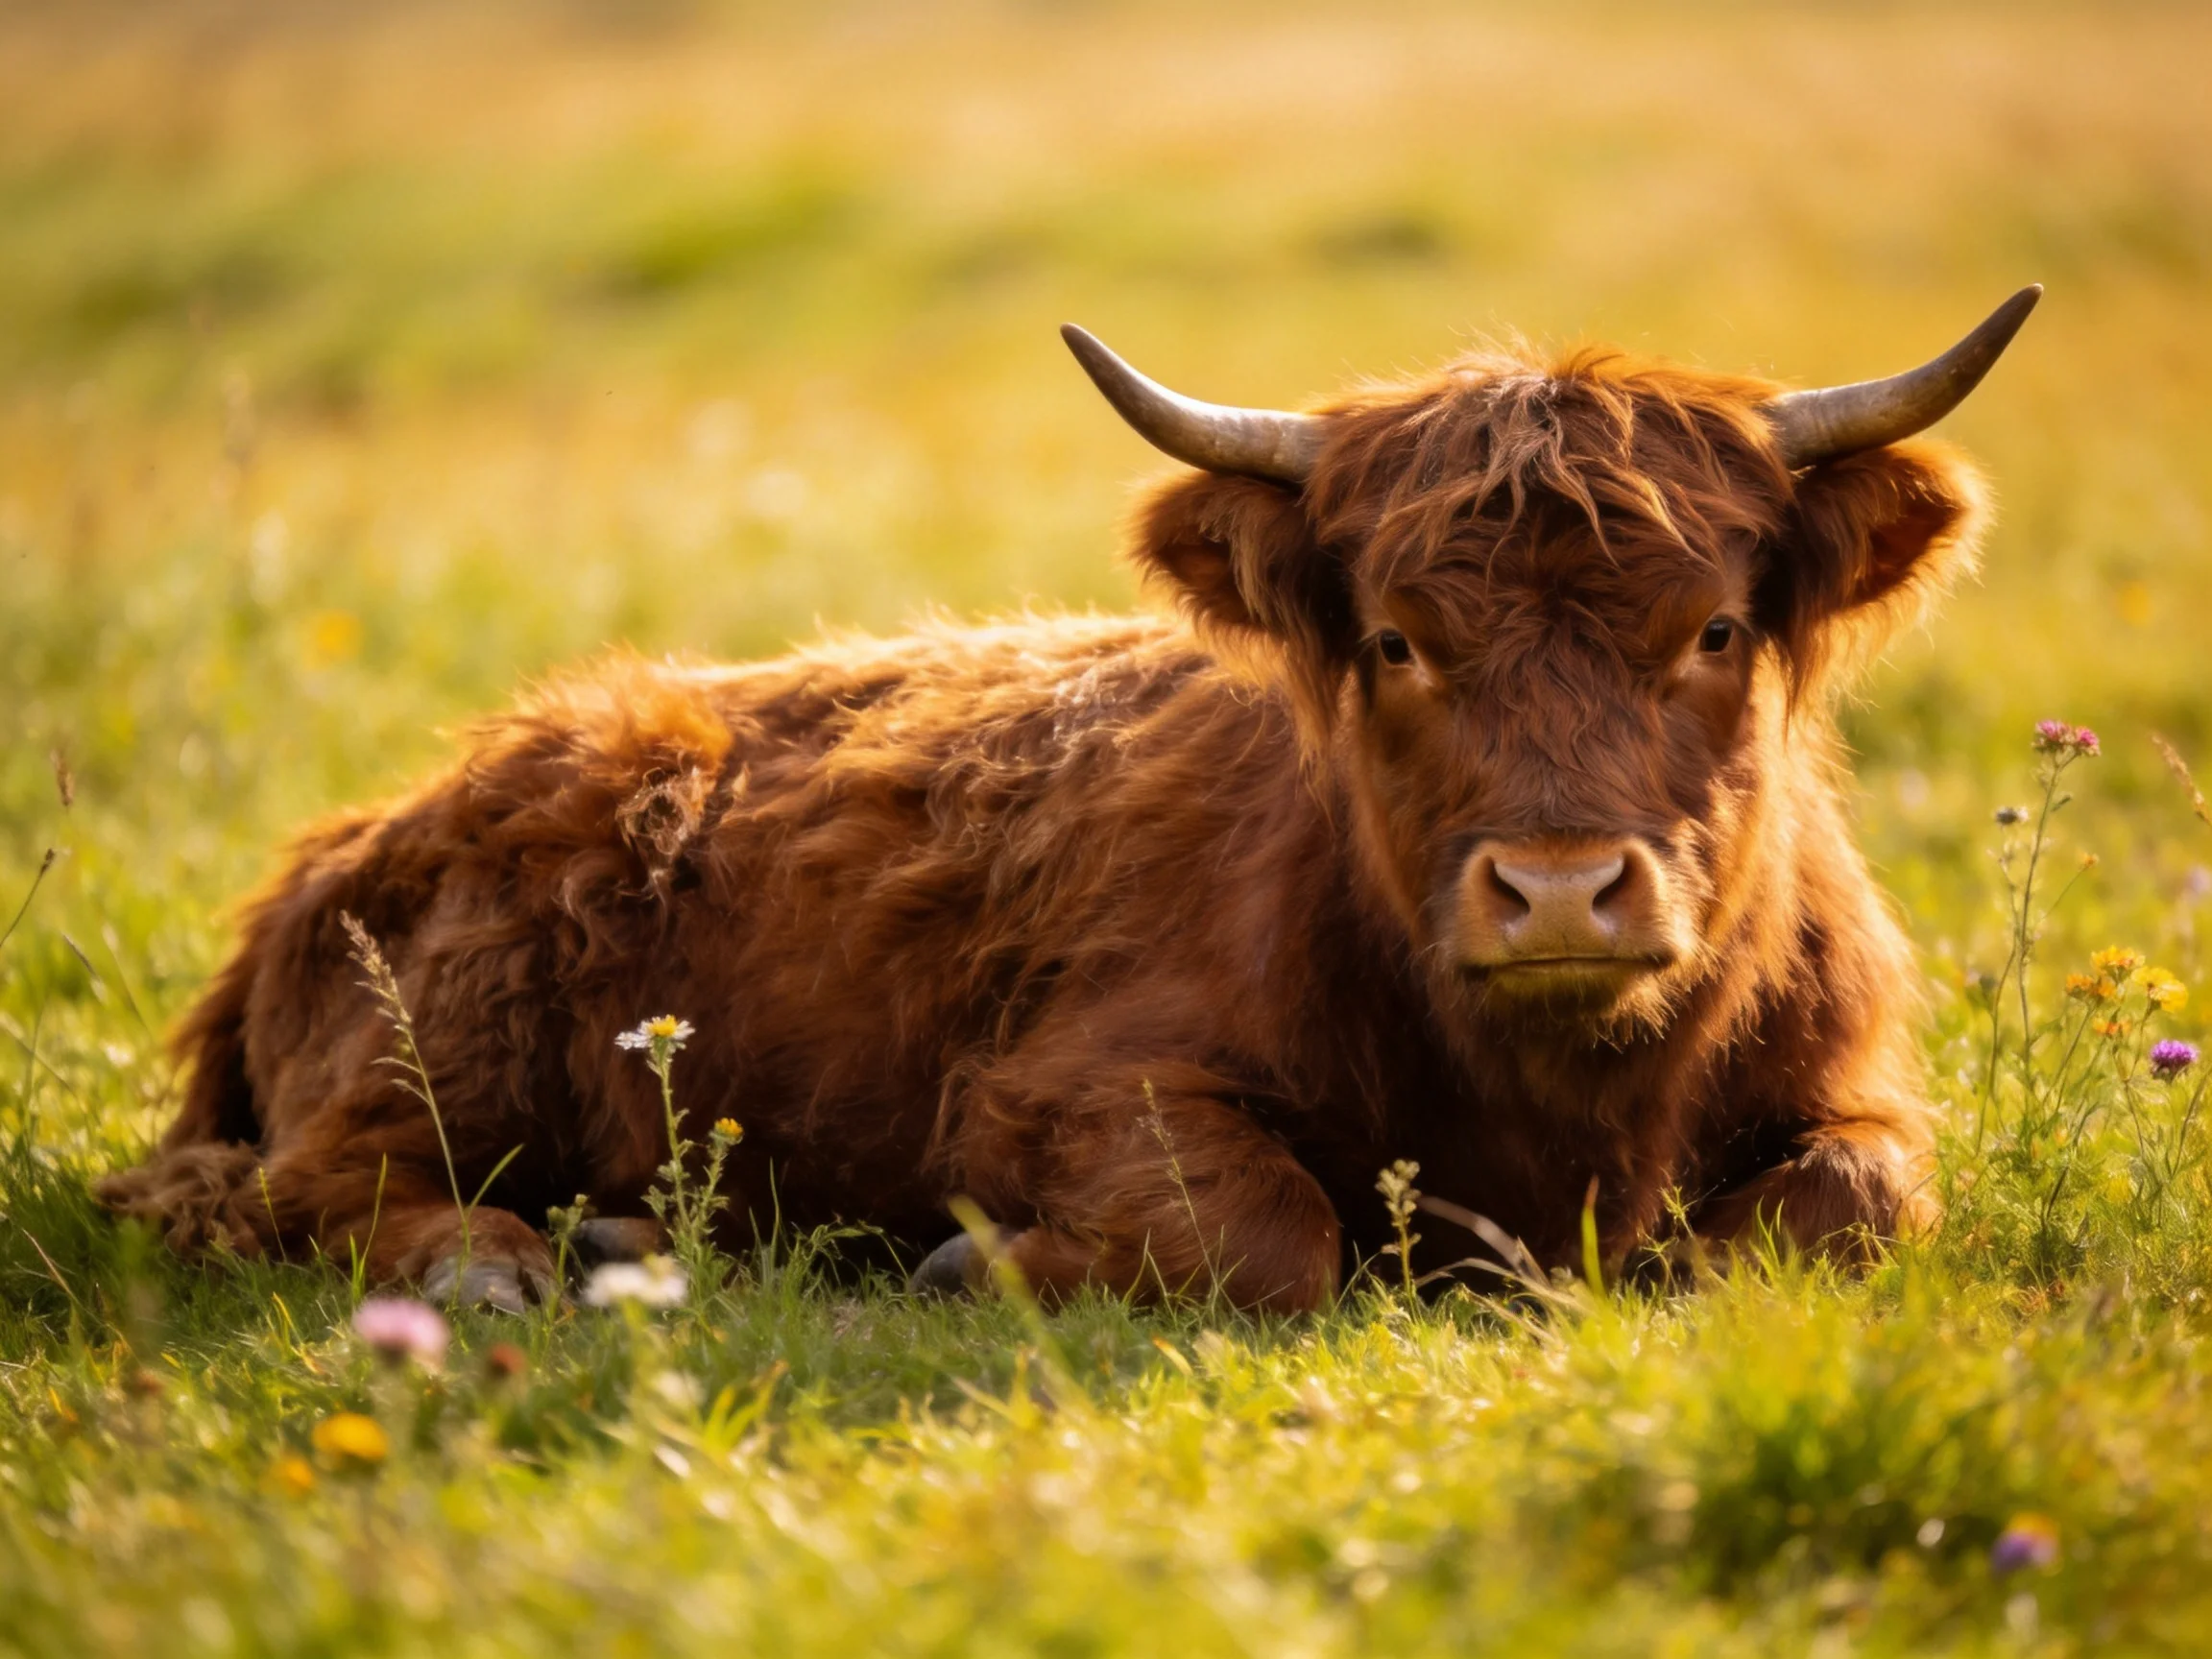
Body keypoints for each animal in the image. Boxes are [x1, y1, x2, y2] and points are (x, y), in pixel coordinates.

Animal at [96, 288, 2041, 1312]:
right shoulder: (1067, 1083)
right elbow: (1271, 1232)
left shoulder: (1855, 1092)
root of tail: (354, 836)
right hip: (444, 1041)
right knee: (286, 1187)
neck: (1566, 1107)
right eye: (1396, 640)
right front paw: (969, 1270)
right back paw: (507, 1261)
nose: (1560, 889)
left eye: (1711, 626)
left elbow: (1851, 1208)